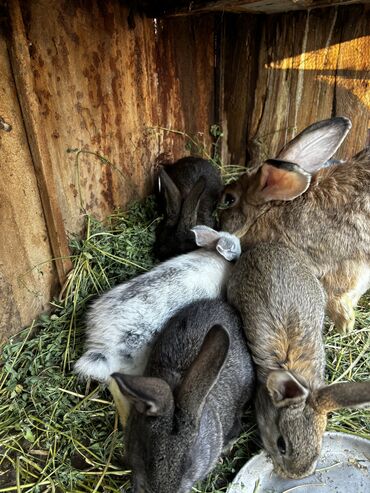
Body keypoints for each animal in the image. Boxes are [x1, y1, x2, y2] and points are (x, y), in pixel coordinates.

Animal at [220, 116, 370, 330]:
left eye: (229, 199)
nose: (218, 225)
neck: (269, 212)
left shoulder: (345, 266)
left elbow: (338, 296)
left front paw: (345, 325)